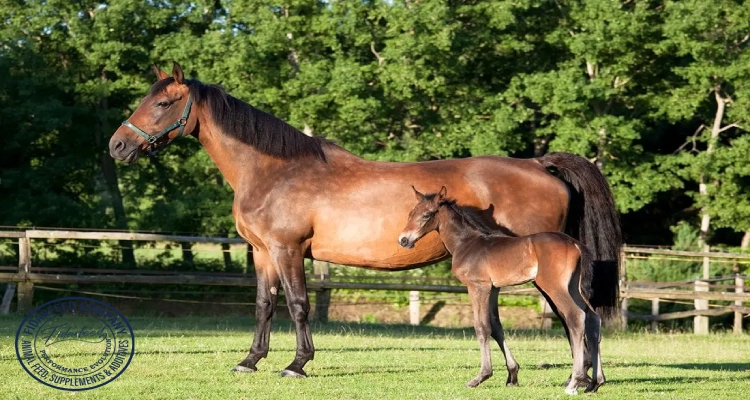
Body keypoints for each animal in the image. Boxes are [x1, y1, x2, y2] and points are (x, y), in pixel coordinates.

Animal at [398, 186, 605, 394]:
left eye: (427, 214)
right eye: (410, 213)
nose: (404, 240)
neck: (467, 243)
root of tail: (575, 243)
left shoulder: (478, 286)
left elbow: (482, 327)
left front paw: (481, 377)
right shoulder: (494, 289)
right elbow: (496, 326)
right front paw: (512, 375)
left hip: (554, 286)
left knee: (576, 317)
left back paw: (574, 382)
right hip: (573, 286)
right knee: (593, 318)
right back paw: (595, 383)